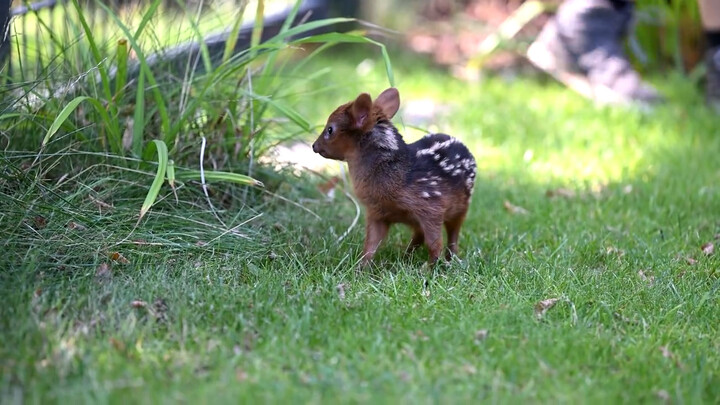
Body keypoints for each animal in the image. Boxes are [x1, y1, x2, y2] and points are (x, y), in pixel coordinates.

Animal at [312, 88, 476, 264]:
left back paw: (449, 258)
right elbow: (370, 245)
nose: (314, 145)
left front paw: (431, 267)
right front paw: (361, 267)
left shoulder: (432, 206)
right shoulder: (376, 212)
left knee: (452, 235)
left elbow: (434, 244)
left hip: (462, 206)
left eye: (330, 129)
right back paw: (406, 257)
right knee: (419, 235)